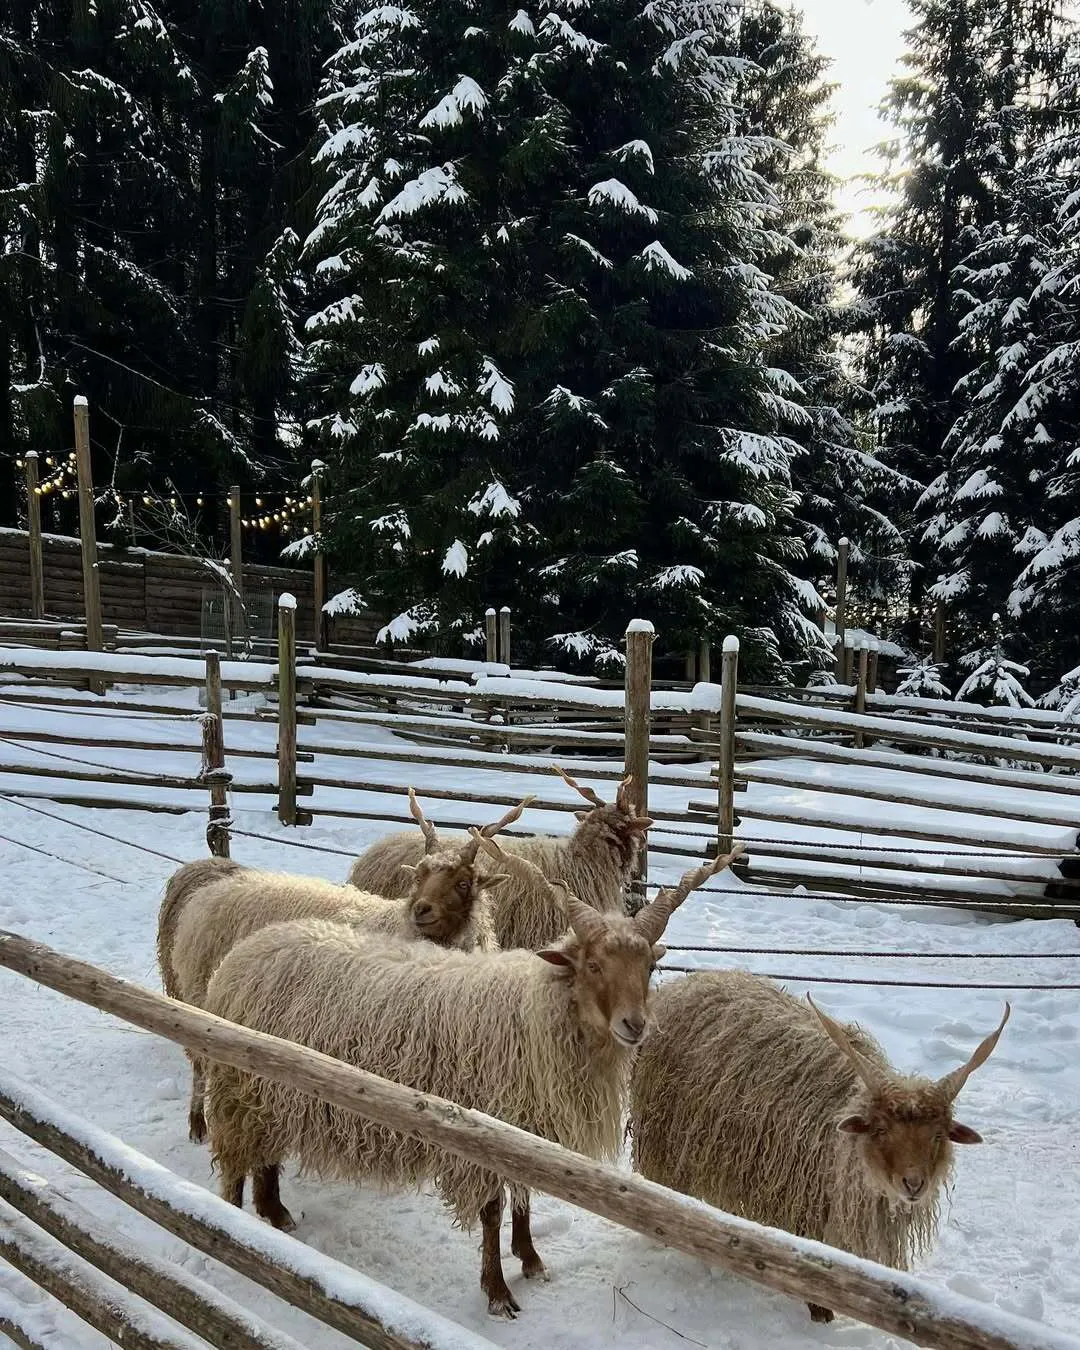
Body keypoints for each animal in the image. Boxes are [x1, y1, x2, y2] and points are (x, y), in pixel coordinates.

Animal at [155, 793, 523, 1144]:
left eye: (463, 883)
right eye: (418, 876)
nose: (421, 909)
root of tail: (210, 887)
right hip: (202, 999)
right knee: (200, 1059)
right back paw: (198, 1123)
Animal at [199, 847, 745, 1312]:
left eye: (650, 966)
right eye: (592, 964)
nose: (635, 1025)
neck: (531, 1018)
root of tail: (247, 950)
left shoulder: (526, 1132)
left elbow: (523, 1199)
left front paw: (530, 1257)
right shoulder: (480, 1135)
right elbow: (490, 1213)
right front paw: (498, 1291)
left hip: (272, 1086)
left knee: (266, 1154)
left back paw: (275, 1213)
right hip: (236, 1085)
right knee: (236, 1163)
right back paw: (231, 1220)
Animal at [629, 966, 1009, 1323]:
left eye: (938, 1135)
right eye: (881, 1130)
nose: (914, 1184)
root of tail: (691, 982)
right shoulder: (805, 1210)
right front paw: (821, 1315)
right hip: (662, 1139)